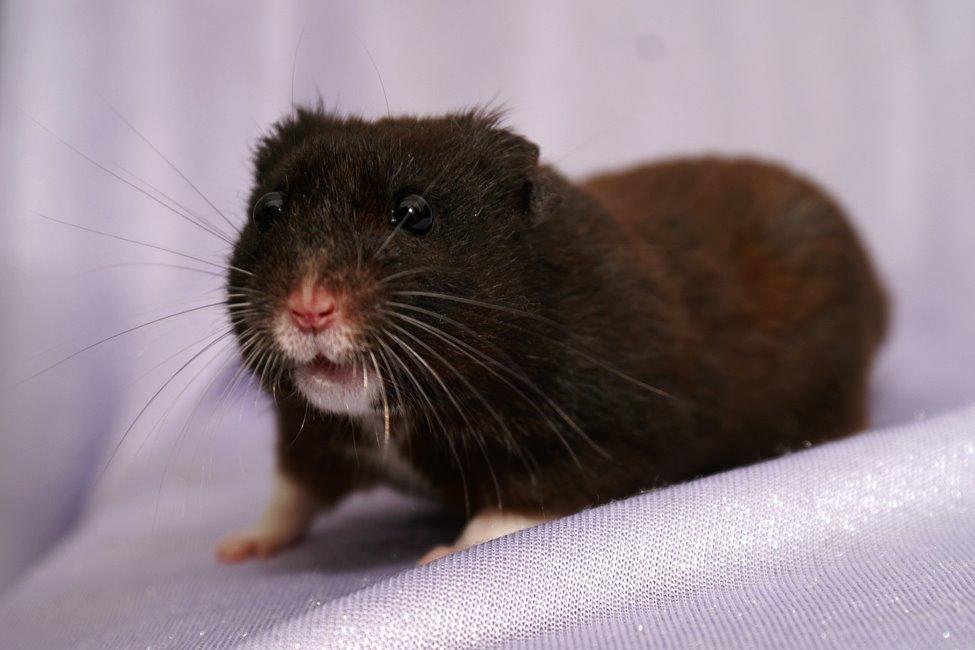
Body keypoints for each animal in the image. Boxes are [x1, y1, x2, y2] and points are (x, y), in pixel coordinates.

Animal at [215, 108, 888, 564]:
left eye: (415, 214)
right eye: (268, 211)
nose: (309, 310)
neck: (402, 413)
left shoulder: (598, 438)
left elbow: (513, 506)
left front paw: (438, 555)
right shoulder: (312, 434)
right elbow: (292, 490)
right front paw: (235, 548)